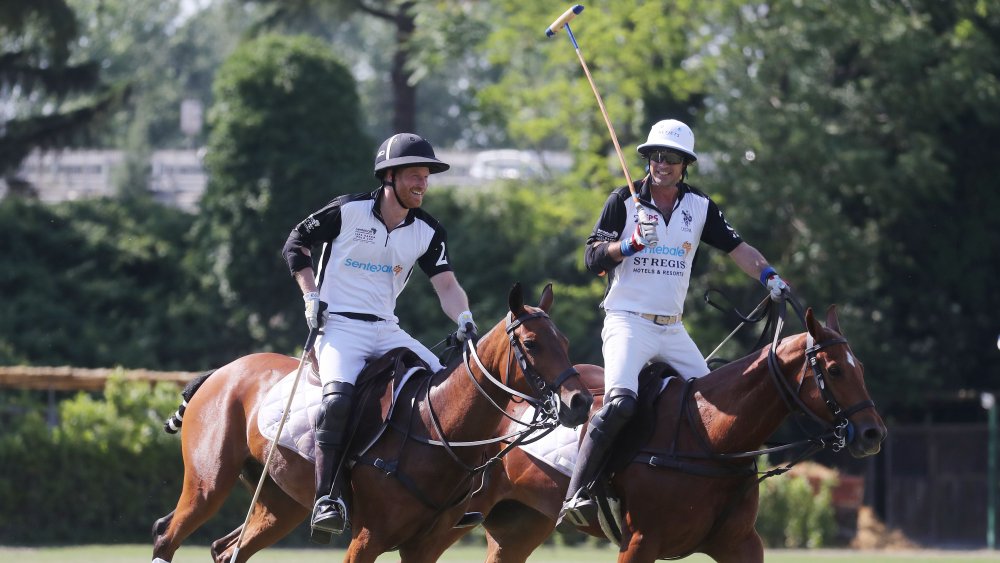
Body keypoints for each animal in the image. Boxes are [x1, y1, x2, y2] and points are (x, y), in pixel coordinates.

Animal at [148, 284, 592, 560]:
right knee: (167, 535)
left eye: (565, 342)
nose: (581, 402)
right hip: (208, 482)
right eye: (532, 344)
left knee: (228, 549)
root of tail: (220, 372)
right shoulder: (368, 538)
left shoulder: (424, 547)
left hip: (281, 500)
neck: (438, 432)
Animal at [442, 304, 888, 563]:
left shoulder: (740, 543)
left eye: (863, 368)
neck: (708, 440)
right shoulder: (640, 542)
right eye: (835, 370)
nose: (872, 433)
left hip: (518, 525)